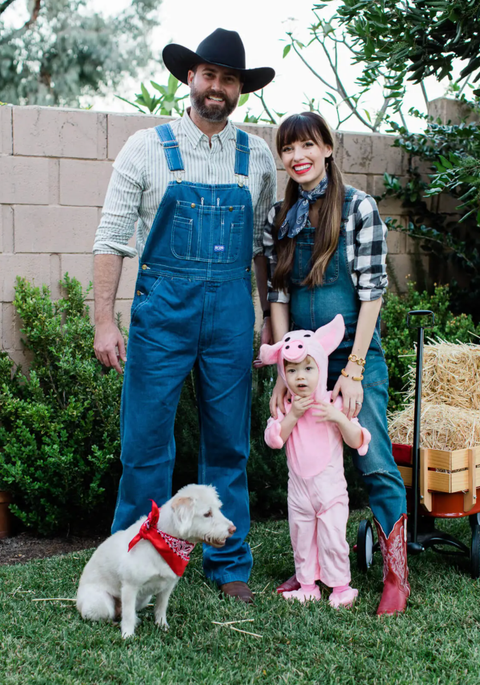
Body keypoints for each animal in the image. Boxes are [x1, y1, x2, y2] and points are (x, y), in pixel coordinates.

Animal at [76, 484, 235, 640]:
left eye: (219, 508)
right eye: (207, 514)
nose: (233, 529)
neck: (163, 542)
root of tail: (78, 602)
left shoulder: (167, 587)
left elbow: (160, 608)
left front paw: (162, 626)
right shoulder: (129, 587)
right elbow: (128, 615)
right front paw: (127, 635)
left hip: (144, 599)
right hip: (101, 603)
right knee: (108, 616)